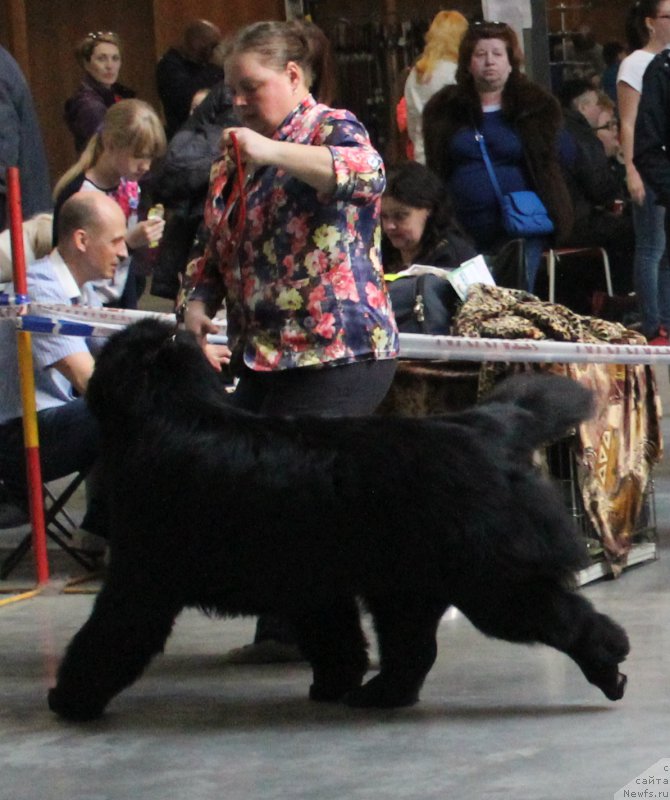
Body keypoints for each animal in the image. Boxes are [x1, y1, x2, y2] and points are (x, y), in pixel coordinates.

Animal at [48, 322, 632, 720]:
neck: (172, 412)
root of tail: (487, 426)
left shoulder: (143, 578)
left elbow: (108, 636)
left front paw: (70, 697)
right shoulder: (312, 584)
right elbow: (335, 639)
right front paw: (332, 684)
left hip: (489, 580)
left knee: (568, 620)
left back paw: (610, 665)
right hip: (406, 587)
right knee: (413, 650)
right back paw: (377, 696)